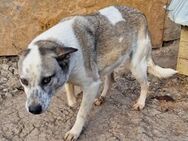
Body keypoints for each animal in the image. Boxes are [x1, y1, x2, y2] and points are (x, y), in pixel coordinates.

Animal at [17, 5, 176, 141]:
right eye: (23, 81)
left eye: (46, 79)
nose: (33, 110)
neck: (56, 42)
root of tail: (140, 13)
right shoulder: (69, 75)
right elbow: (70, 95)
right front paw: (73, 101)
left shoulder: (92, 84)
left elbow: (81, 113)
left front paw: (75, 131)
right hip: (111, 62)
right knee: (110, 80)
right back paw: (102, 97)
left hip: (135, 66)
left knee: (146, 84)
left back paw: (140, 103)